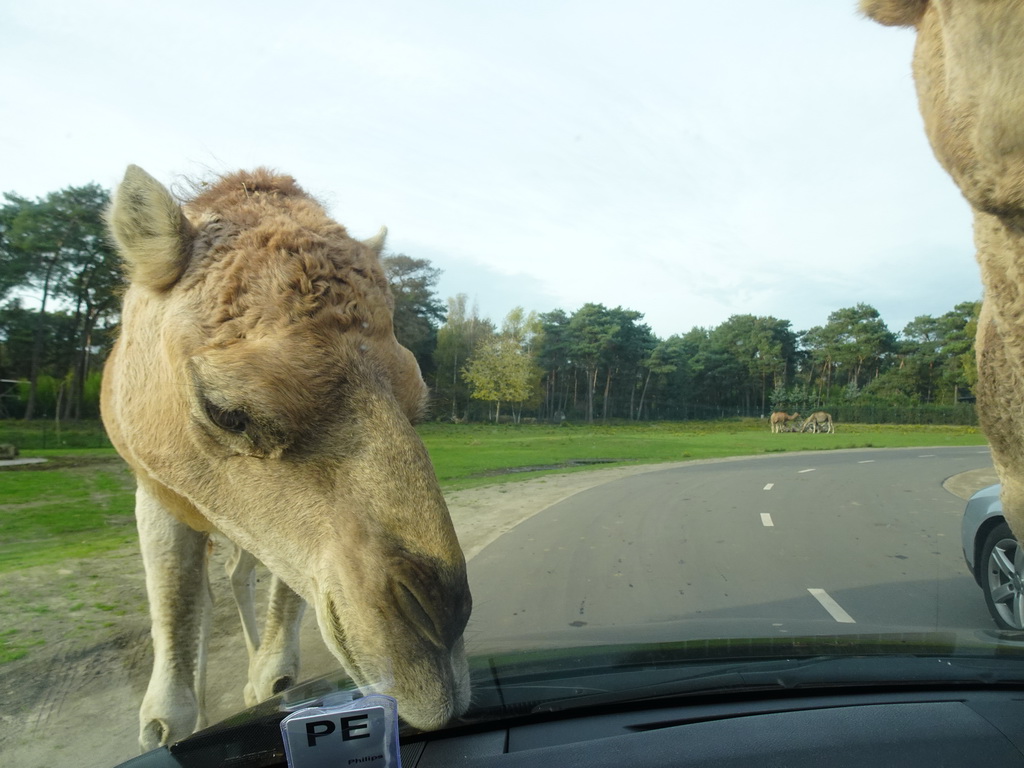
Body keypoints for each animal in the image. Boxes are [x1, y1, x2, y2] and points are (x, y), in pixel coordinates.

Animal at [100, 165, 471, 749]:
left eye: (418, 405)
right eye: (226, 412)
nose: (442, 623)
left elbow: (279, 657)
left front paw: (265, 680)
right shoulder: (156, 488)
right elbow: (165, 711)